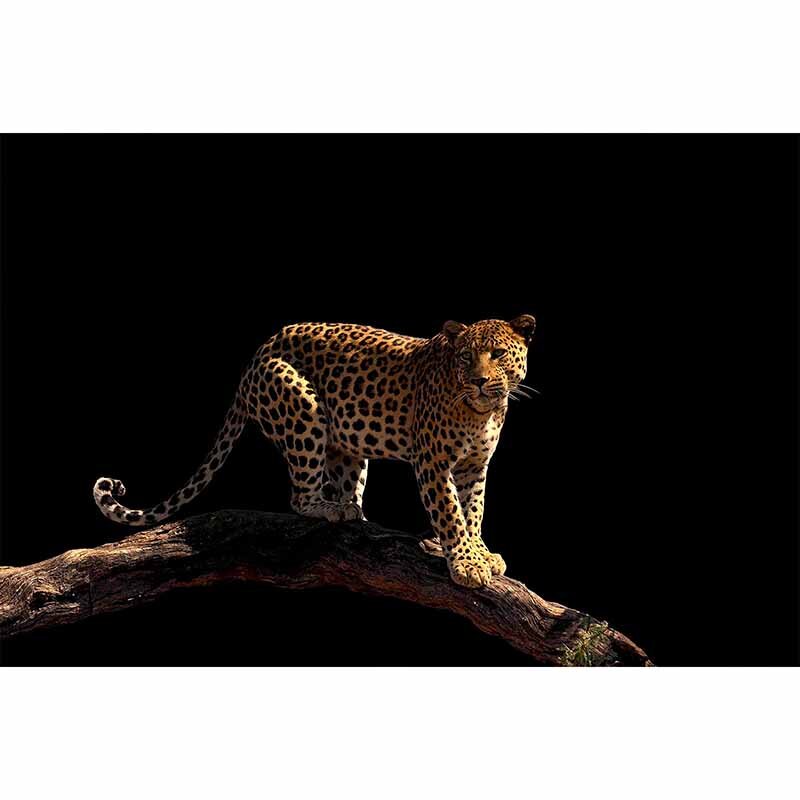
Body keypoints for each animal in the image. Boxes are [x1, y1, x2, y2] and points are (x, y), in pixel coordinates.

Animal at [93, 315, 537, 588]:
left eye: (497, 354)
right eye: (465, 356)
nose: (479, 381)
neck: (482, 411)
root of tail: (261, 349)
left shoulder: (474, 467)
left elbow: (473, 511)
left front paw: (481, 554)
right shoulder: (433, 463)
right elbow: (450, 513)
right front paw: (466, 563)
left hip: (348, 442)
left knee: (343, 479)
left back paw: (353, 511)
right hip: (301, 410)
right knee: (300, 496)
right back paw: (330, 509)